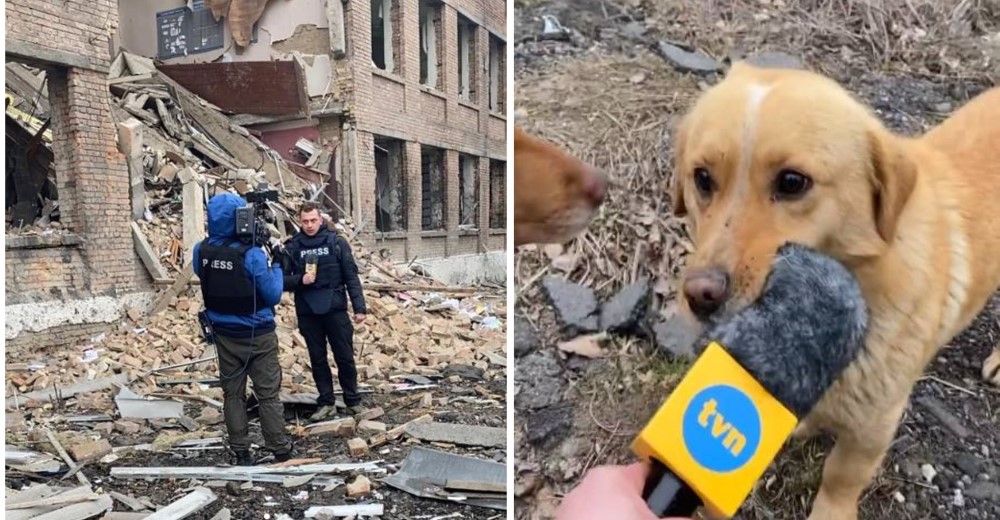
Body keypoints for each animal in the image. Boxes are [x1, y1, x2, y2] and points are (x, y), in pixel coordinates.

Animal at [668, 62, 1000, 520]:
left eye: (792, 182)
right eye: (702, 178)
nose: (700, 296)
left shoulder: (874, 425)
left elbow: (841, 476)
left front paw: (831, 510)